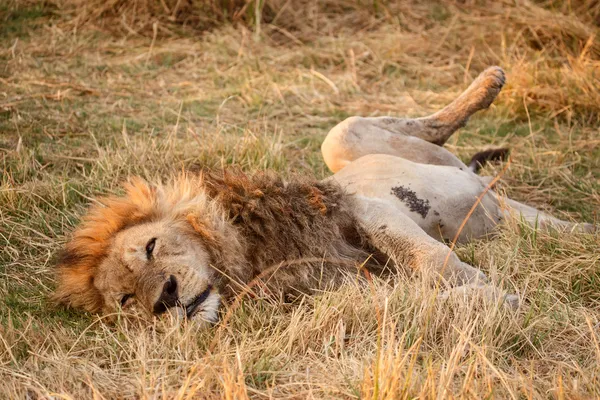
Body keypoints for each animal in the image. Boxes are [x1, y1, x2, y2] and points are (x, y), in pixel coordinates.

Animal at [52, 67, 596, 324]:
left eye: (151, 248)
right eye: (126, 300)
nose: (164, 300)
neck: (248, 257)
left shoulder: (360, 208)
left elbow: (430, 259)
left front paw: (491, 289)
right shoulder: (340, 289)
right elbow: (416, 295)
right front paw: (489, 298)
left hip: (348, 143)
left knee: (377, 129)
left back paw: (490, 82)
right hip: (508, 211)